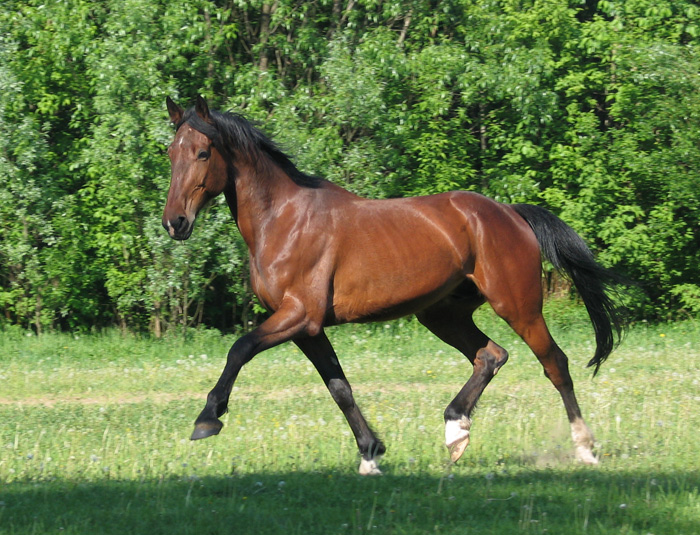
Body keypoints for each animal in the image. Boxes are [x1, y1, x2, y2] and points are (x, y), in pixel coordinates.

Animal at [165, 96, 628, 478]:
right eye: (170, 152)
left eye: (203, 152)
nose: (175, 223)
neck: (284, 219)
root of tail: (509, 212)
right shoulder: (308, 329)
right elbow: (340, 388)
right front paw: (370, 453)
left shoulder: (298, 315)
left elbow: (240, 348)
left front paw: (207, 418)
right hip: (442, 313)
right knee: (491, 356)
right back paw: (456, 431)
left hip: (518, 306)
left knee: (555, 363)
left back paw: (584, 448)